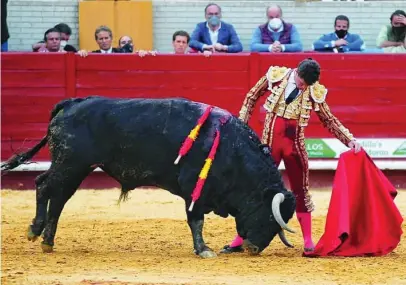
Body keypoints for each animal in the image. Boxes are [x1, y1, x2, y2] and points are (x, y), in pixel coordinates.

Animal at [1, 96, 296, 258]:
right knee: (44, 187)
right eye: (269, 218)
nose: (253, 248)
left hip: (75, 168)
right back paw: (34, 231)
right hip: (70, 164)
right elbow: (196, 220)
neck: (231, 149)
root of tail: (71, 103)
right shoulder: (194, 189)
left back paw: (47, 241)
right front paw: (203, 250)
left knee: (57, 196)